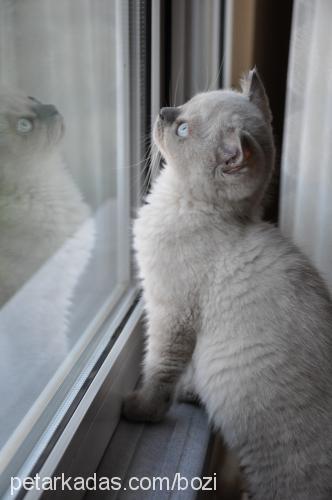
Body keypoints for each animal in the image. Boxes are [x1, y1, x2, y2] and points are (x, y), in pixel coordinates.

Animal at [123, 70, 332, 500]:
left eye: (183, 129)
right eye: (185, 105)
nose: (164, 112)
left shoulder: (170, 314)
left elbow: (159, 369)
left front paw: (142, 409)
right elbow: (185, 372)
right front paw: (191, 393)